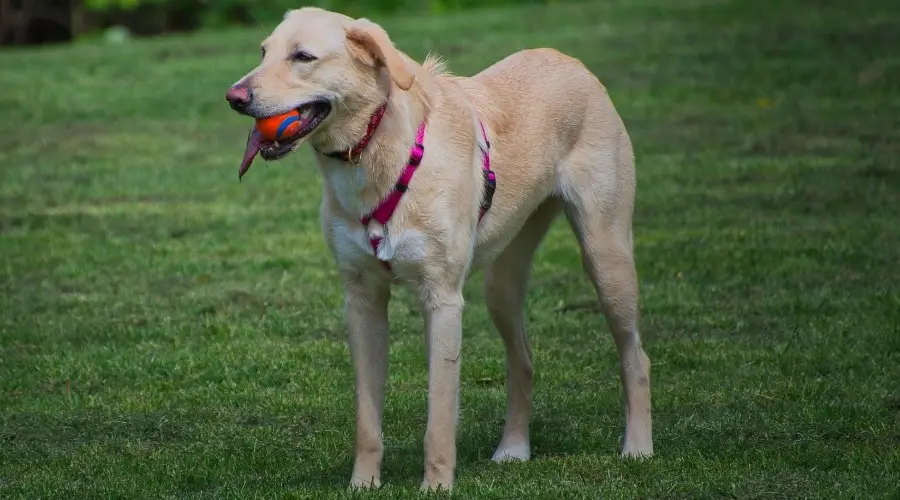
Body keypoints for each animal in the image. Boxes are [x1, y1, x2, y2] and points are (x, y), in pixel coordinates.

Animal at [225, 6, 652, 492]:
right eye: (263, 52)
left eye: (303, 57)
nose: (234, 97)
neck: (377, 152)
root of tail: (568, 60)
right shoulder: (362, 300)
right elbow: (367, 419)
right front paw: (362, 485)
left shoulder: (443, 300)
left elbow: (440, 416)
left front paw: (436, 486)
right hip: (501, 286)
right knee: (522, 361)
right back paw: (513, 449)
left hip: (607, 259)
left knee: (636, 356)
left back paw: (637, 447)